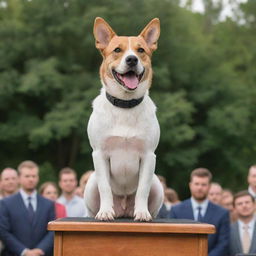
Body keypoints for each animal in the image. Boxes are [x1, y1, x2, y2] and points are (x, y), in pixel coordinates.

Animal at [84, 17, 164, 221]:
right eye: (117, 50)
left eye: (141, 50)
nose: (132, 59)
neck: (125, 105)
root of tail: (124, 210)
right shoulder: (100, 153)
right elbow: (105, 187)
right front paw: (105, 212)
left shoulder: (148, 155)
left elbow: (143, 189)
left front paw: (142, 213)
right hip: (90, 184)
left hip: (157, 185)